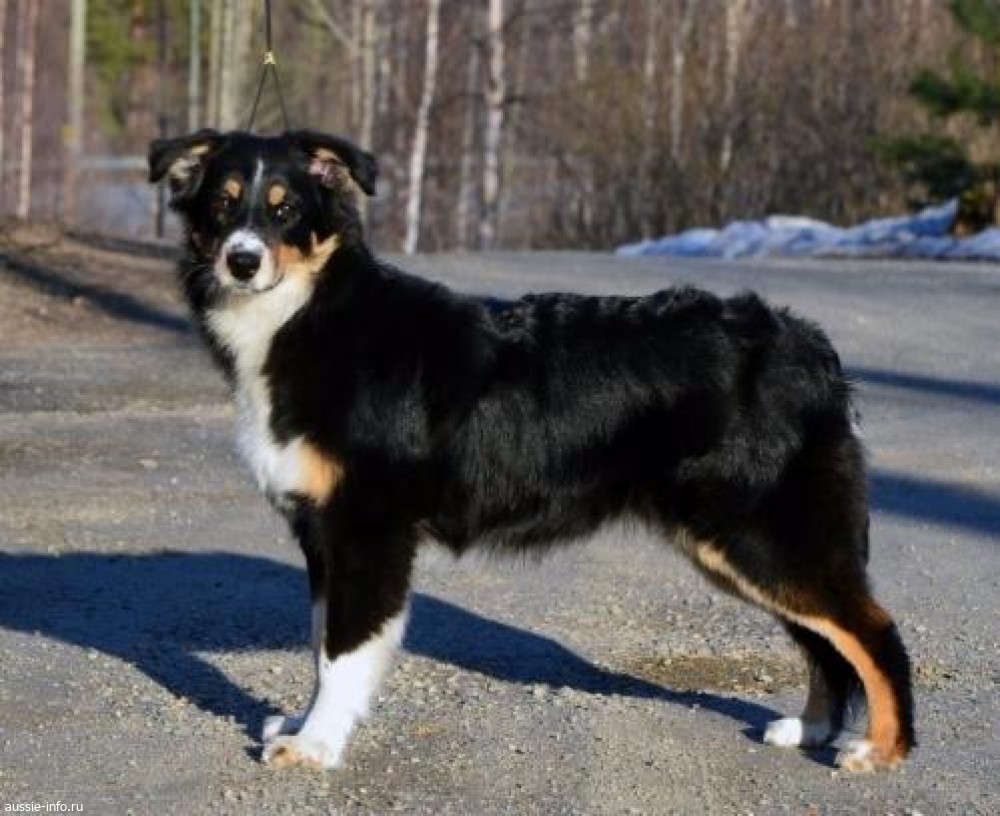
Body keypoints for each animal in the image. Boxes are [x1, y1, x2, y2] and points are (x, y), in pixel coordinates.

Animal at [147, 129, 914, 773]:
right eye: (222, 204)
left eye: (284, 211)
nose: (241, 261)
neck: (309, 317)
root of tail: (807, 343)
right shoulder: (321, 536)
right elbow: (317, 645)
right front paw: (306, 724)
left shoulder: (369, 530)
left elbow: (342, 652)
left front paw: (317, 745)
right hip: (743, 544)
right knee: (827, 640)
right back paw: (811, 728)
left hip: (765, 535)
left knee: (873, 631)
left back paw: (882, 750)